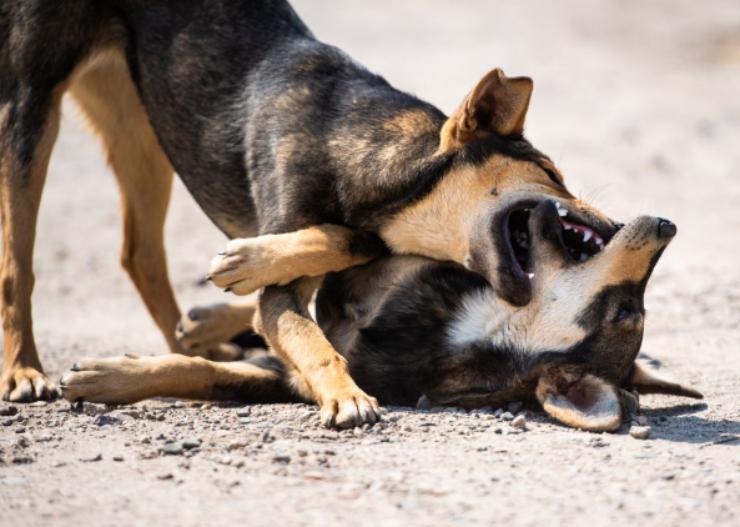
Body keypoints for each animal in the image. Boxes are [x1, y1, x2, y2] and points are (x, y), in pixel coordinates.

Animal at [1, 1, 620, 428]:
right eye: (551, 172)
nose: (615, 227)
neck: (356, 147)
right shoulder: (283, 296)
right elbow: (312, 334)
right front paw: (345, 395)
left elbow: (350, 242)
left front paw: (248, 264)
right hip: (31, 109)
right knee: (18, 265)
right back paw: (24, 371)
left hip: (142, 132)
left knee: (140, 253)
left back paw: (190, 344)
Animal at [62, 203, 700, 434]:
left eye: (628, 309)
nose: (669, 224)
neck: (480, 321)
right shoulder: (391, 261)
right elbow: (347, 239)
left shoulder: (286, 381)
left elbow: (204, 374)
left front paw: (104, 378)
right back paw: (214, 313)